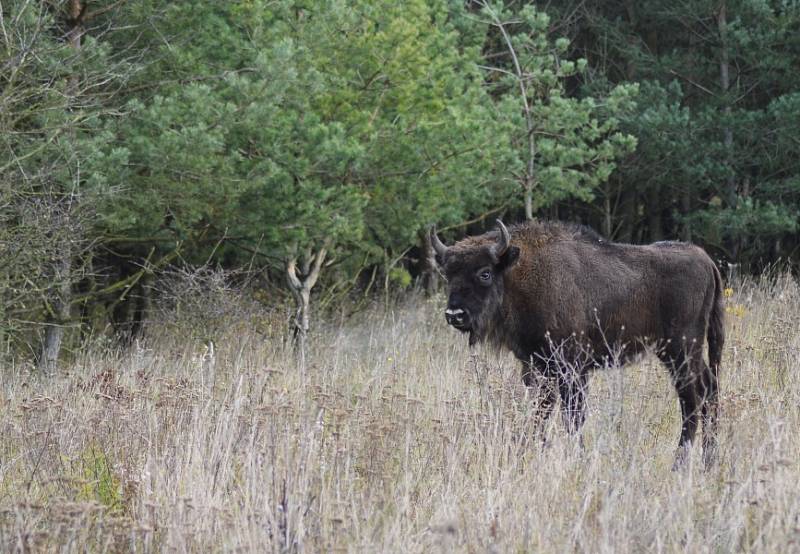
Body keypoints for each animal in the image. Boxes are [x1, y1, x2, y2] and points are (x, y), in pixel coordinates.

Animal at [432, 220, 724, 466]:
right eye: (448, 275)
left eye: (485, 273)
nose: (455, 314)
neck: (520, 275)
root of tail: (705, 260)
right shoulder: (537, 367)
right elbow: (541, 412)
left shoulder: (571, 369)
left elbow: (572, 416)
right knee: (709, 389)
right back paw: (709, 459)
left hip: (681, 350)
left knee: (691, 398)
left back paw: (680, 463)